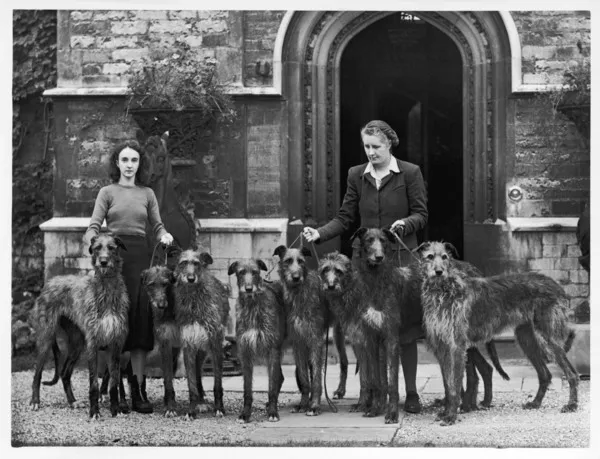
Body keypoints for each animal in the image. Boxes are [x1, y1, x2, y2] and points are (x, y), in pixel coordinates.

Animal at [29, 235, 128, 418]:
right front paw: (94, 412)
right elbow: (93, 383)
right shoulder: (93, 344)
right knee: (37, 373)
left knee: (65, 373)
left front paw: (115, 409)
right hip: (46, 337)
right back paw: (35, 401)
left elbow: (114, 382)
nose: (103, 262)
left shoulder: (116, 344)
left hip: (77, 343)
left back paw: (72, 401)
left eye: (112, 247)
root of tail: (49, 282)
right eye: (97, 248)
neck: (107, 289)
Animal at [175, 250, 231, 418]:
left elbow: (218, 383)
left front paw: (219, 408)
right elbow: (191, 383)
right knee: (197, 372)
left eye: (196, 263)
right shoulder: (188, 345)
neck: (194, 301)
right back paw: (200, 400)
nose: (190, 278)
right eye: (183, 263)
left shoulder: (215, 344)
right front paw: (191, 410)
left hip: (206, 348)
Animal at [229, 258, 288, 424]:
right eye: (241, 272)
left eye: (255, 272)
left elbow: (271, 387)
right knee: (280, 377)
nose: (249, 289)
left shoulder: (272, 349)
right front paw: (245, 414)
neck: (252, 305)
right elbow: (247, 389)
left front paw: (273, 412)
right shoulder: (245, 352)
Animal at [420, 243, 580, 426]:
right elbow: (448, 385)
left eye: (445, 257)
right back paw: (536, 402)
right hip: (526, 338)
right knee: (545, 374)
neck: (444, 290)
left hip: (547, 337)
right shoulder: (442, 348)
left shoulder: (457, 347)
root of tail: (557, 285)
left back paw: (572, 405)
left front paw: (451, 416)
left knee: (572, 374)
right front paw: (446, 412)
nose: (439, 271)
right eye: (430, 256)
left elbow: (454, 386)